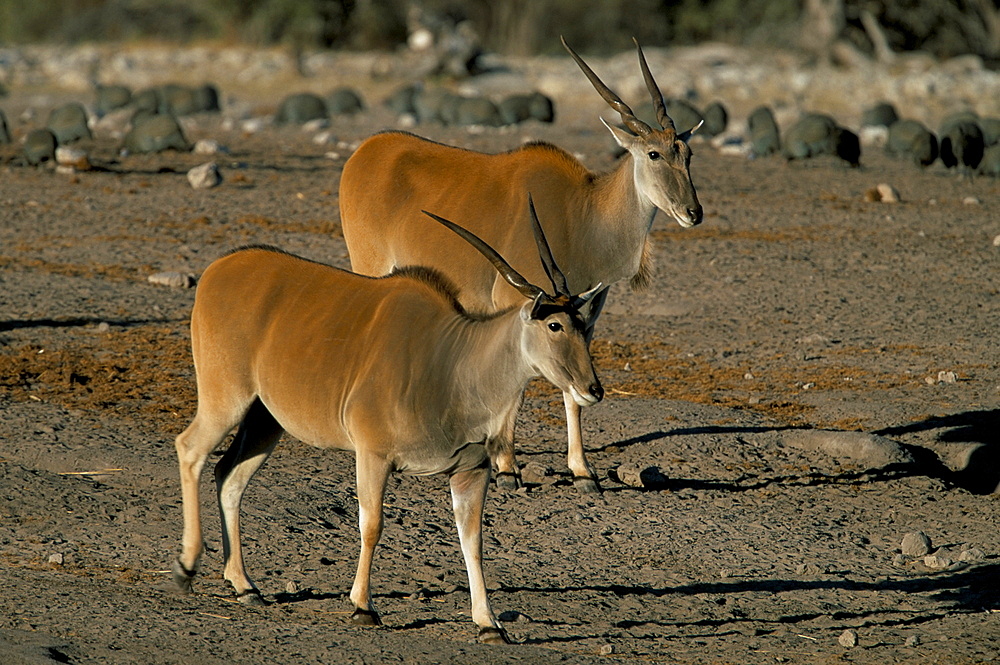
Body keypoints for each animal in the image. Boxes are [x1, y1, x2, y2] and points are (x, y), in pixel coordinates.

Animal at [172, 201, 600, 644]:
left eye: (583, 325)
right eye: (554, 325)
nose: (593, 389)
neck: (453, 363)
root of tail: (218, 270)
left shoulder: (471, 471)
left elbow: (473, 541)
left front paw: (488, 623)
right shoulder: (373, 455)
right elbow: (372, 524)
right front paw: (363, 607)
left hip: (264, 420)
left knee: (229, 476)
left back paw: (244, 586)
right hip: (226, 398)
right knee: (191, 450)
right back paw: (186, 567)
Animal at [344, 36, 704, 492]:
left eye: (687, 154)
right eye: (654, 153)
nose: (694, 212)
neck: (583, 212)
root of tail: (365, 151)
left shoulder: (582, 316)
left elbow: (573, 390)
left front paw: (582, 470)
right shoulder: (521, 305)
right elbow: (516, 385)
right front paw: (507, 467)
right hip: (368, 264)